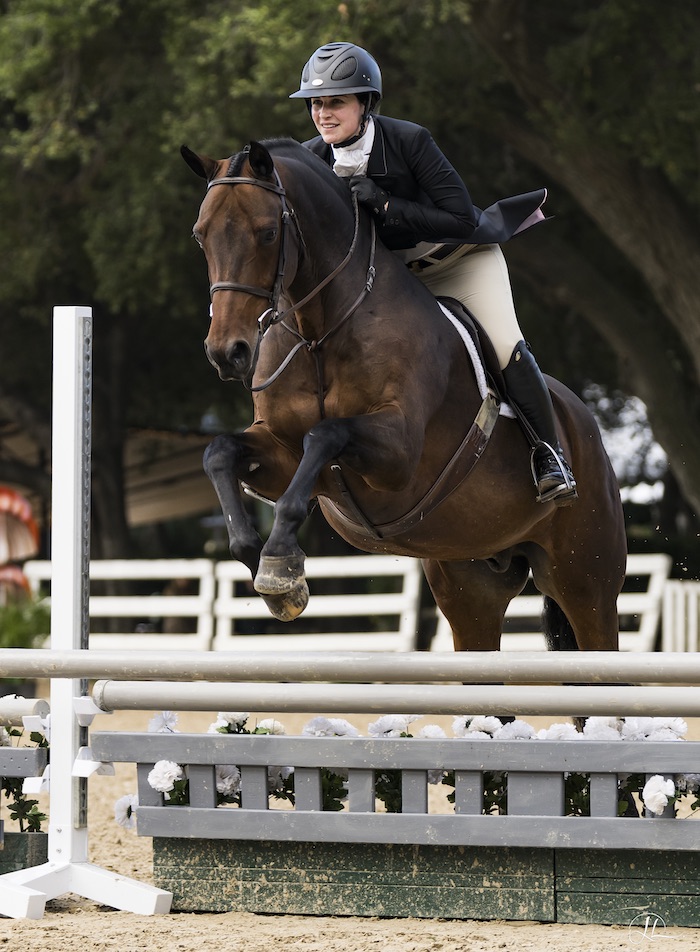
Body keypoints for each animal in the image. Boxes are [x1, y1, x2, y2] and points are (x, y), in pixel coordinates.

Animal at [182, 136, 628, 656]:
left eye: (268, 233)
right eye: (201, 236)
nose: (227, 353)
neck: (318, 333)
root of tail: (584, 424)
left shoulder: (398, 454)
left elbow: (325, 435)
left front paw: (278, 565)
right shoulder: (281, 452)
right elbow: (220, 451)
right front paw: (267, 568)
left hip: (585, 582)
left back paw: (554, 473)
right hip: (470, 584)